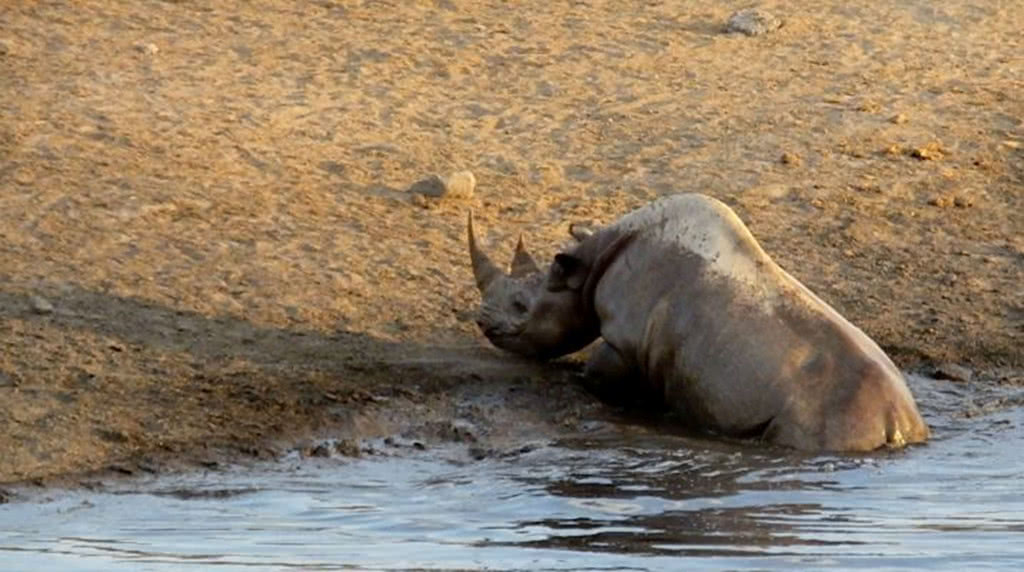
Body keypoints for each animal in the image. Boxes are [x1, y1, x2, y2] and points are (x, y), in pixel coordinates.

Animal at [468, 194, 933, 454]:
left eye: (520, 305)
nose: (481, 323)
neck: (589, 266)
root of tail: (899, 422)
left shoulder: (625, 342)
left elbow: (597, 375)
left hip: (829, 419)